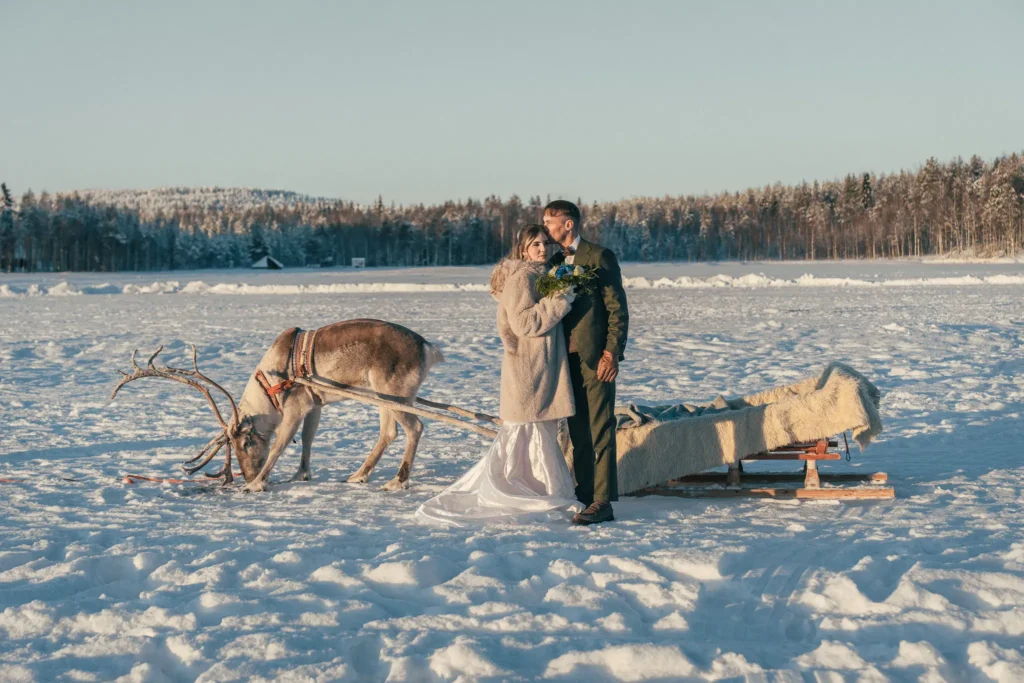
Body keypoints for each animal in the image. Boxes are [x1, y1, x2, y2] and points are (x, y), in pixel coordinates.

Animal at [110, 319, 444, 492]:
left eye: (245, 442)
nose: (246, 476)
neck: (269, 385)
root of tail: (428, 349)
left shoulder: (294, 408)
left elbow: (280, 444)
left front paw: (257, 484)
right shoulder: (314, 405)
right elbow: (307, 440)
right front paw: (299, 475)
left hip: (394, 396)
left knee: (415, 427)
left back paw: (397, 480)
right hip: (382, 398)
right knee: (389, 433)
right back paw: (359, 475)